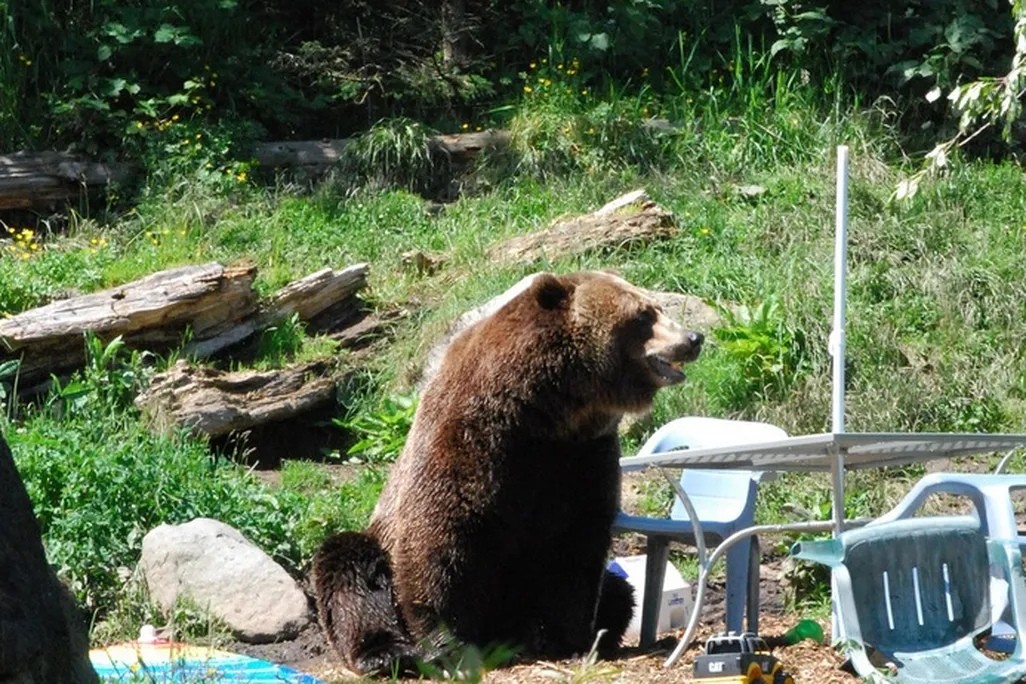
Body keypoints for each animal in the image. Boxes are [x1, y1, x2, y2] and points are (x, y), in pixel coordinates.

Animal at [313, 270, 704, 675]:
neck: (547, 408)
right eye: (644, 314)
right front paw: (448, 646)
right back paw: (384, 652)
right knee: (349, 566)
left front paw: (567, 640)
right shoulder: (472, 439)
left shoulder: (583, 456)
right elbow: (440, 536)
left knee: (619, 591)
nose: (694, 338)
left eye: (655, 307)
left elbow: (576, 547)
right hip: (373, 551)